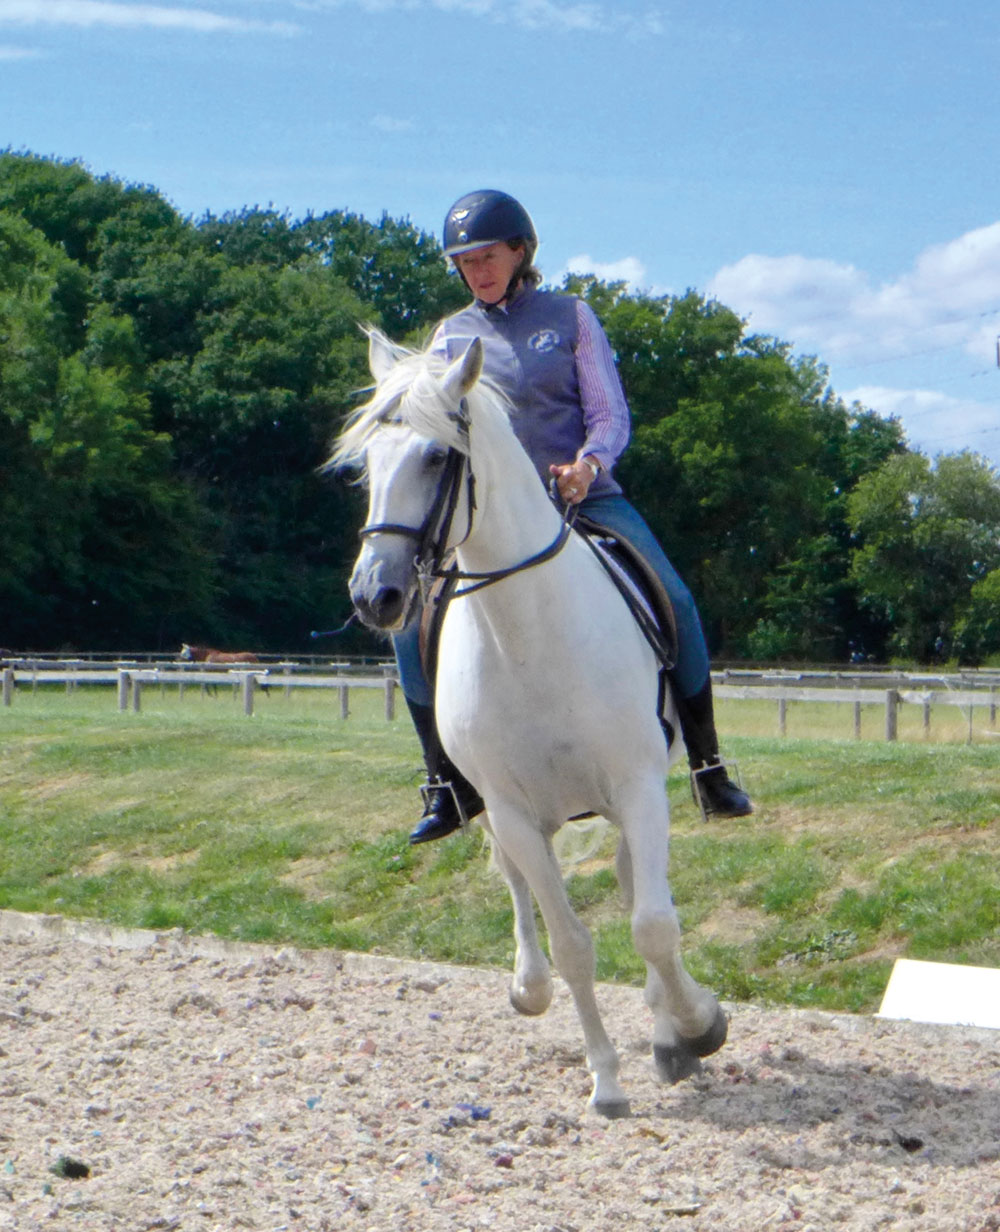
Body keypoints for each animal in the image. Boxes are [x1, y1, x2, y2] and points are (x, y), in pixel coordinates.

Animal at [334, 327, 724, 1118]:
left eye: (436, 456)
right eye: (365, 465)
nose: (374, 596)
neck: (529, 633)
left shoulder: (638, 786)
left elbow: (653, 925)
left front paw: (695, 1026)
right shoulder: (511, 810)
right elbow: (571, 940)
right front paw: (606, 1082)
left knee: (635, 888)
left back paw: (667, 1025)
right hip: (497, 807)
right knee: (519, 883)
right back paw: (530, 986)